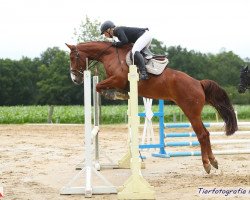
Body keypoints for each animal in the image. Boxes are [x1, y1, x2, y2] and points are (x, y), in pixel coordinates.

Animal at [65, 41, 237, 173]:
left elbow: (98, 86)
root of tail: (198, 83)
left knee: (201, 134)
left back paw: (207, 164)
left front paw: (115, 94)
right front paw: (117, 94)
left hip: (191, 112)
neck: (110, 55)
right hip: (193, 112)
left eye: (73, 57)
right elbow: (99, 86)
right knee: (206, 134)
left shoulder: (117, 79)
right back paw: (213, 161)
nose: (75, 79)